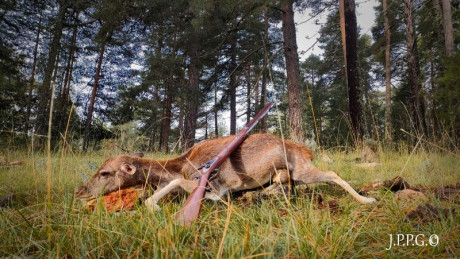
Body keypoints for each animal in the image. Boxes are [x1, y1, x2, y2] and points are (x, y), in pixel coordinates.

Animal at [75, 133, 378, 212]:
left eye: (105, 173)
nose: (80, 191)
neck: (179, 163)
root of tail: (306, 150)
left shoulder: (207, 184)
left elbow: (175, 185)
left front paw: (153, 205)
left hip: (303, 169)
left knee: (332, 173)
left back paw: (368, 199)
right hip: (291, 172)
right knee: (284, 182)